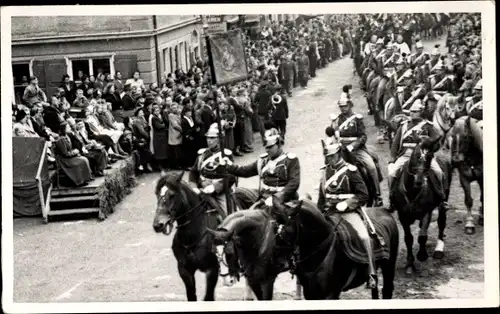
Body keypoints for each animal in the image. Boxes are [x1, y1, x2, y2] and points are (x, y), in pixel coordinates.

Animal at [266, 196, 398, 300]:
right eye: (273, 227)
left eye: (288, 231)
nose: (277, 263)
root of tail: (384, 211)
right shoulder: (310, 293)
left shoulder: (331, 294)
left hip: (389, 267)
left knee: (387, 289)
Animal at [390, 139, 454, 274]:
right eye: (415, 156)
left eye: (429, 157)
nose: (419, 181)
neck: (412, 191)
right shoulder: (402, 215)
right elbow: (408, 238)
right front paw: (409, 264)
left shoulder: (426, 212)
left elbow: (422, 236)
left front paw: (422, 255)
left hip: (444, 199)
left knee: (441, 222)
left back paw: (439, 249)